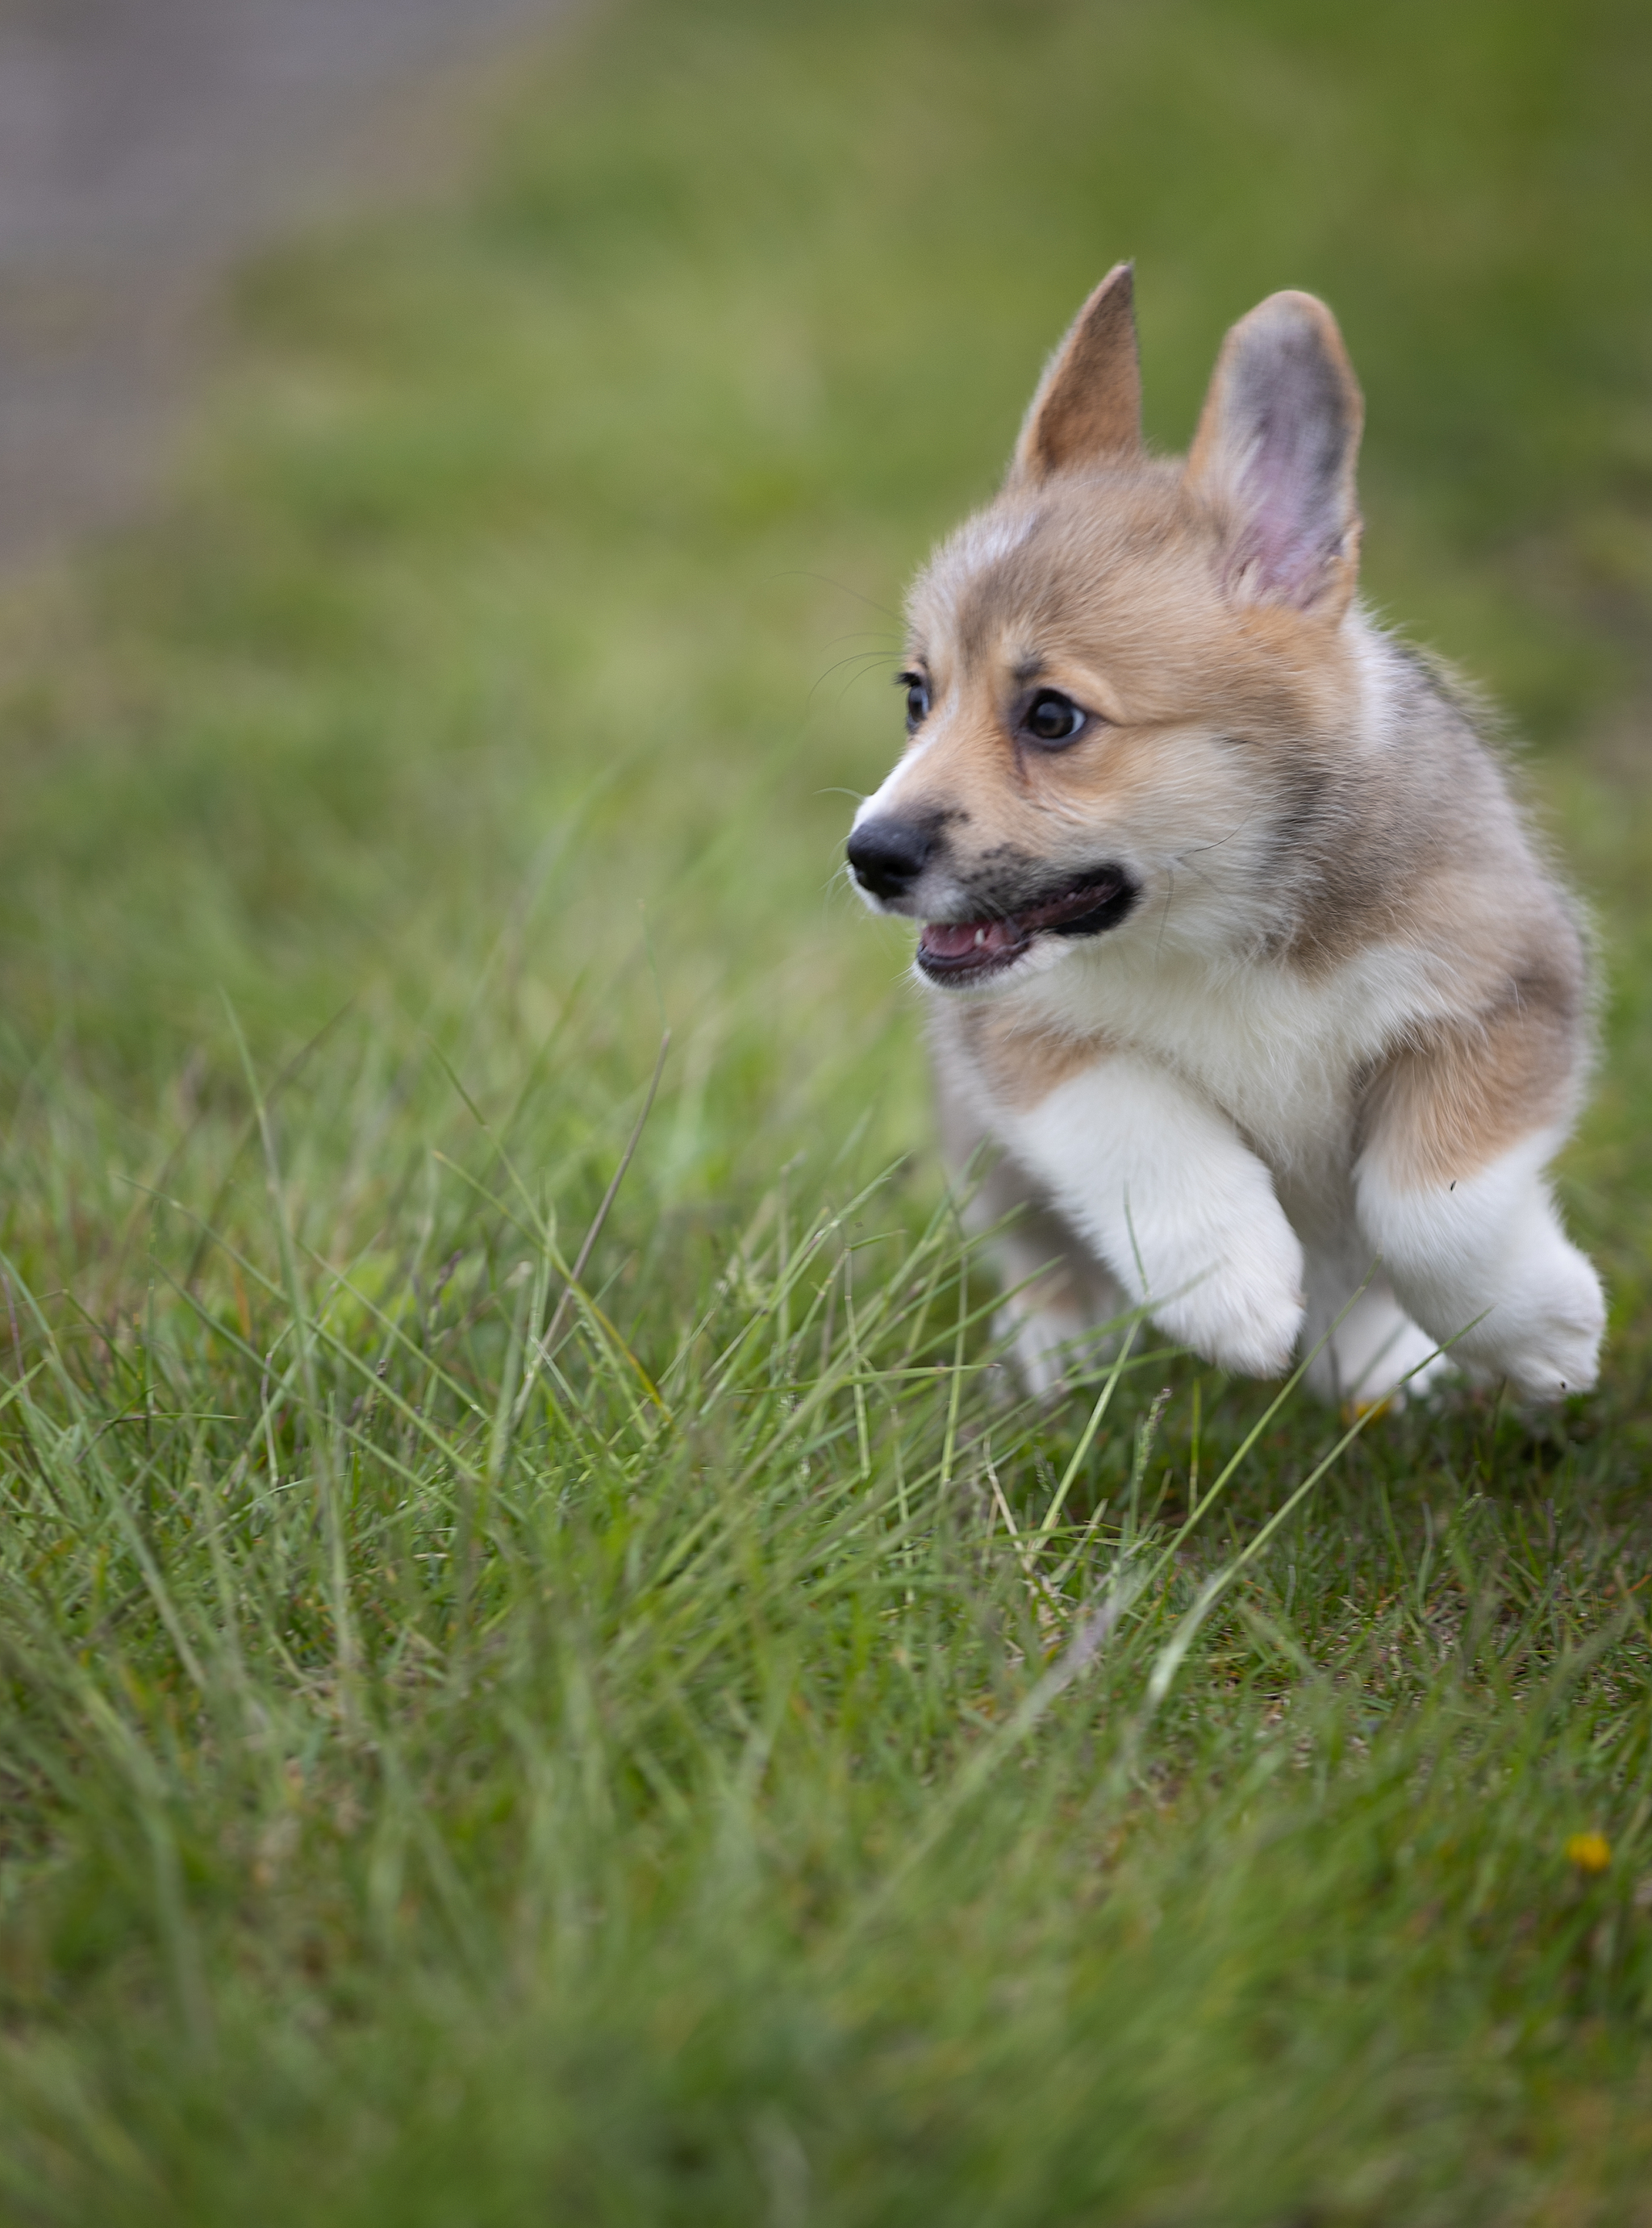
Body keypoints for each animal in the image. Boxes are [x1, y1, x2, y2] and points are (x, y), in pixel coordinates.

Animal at [851, 269, 1596, 1399]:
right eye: (916, 696)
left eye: (1051, 717)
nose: (869, 857)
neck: (1223, 923)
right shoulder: (1025, 1042)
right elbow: (1137, 1125)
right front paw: (1227, 1290)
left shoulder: (1502, 989)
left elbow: (1431, 1206)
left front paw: (1535, 1330)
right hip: (985, 1156)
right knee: (1037, 1254)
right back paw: (1065, 1350)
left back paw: (1376, 1366)